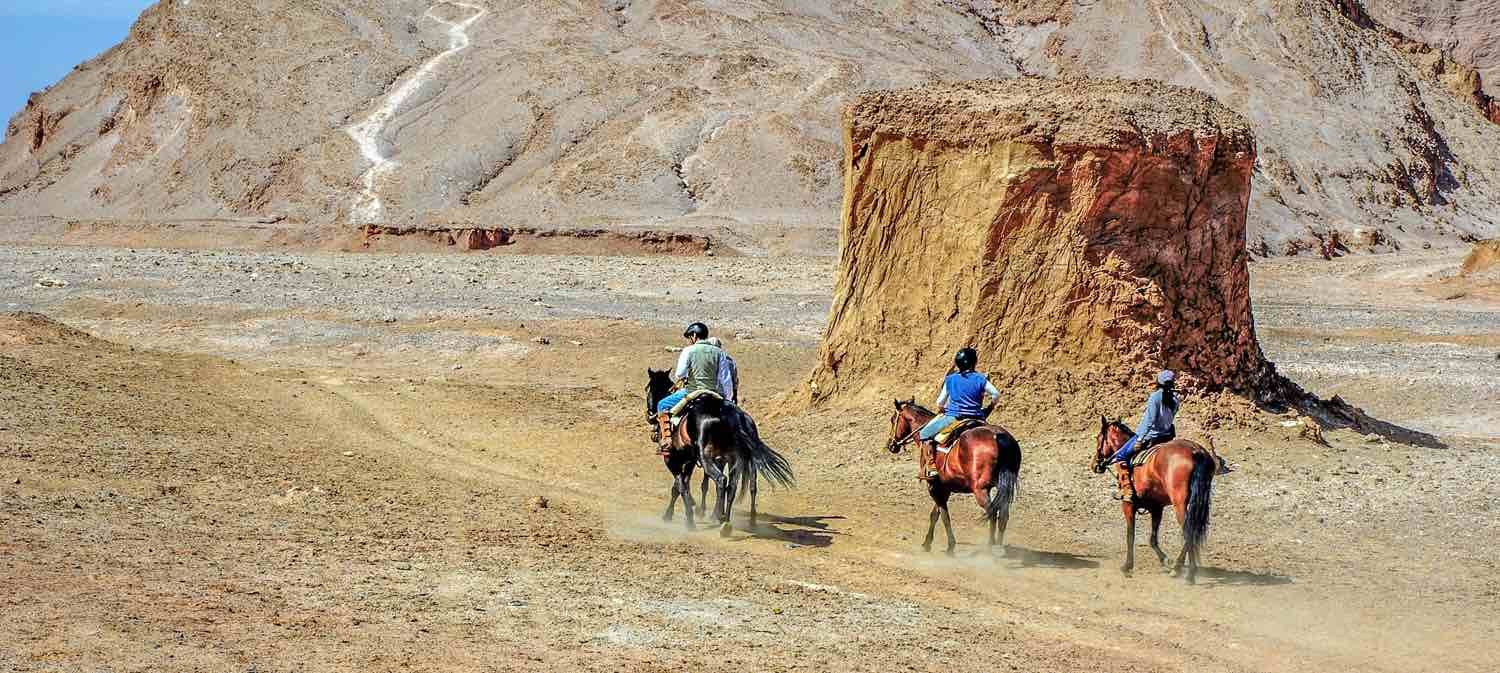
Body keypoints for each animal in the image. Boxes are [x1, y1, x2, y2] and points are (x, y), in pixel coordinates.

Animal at [882, 401, 1026, 554]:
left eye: (893, 419)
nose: (890, 445)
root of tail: (998, 436)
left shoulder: (933, 486)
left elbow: (944, 516)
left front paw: (950, 546)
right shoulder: (944, 487)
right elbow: (935, 514)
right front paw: (927, 543)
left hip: (980, 490)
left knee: (992, 513)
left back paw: (990, 548)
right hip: (1002, 486)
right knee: (1003, 515)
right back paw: (998, 547)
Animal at [1092, 413, 1218, 581]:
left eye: (1099, 438)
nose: (1095, 464)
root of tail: (1196, 451)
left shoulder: (1128, 506)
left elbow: (1130, 535)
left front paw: (1127, 566)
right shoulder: (1156, 508)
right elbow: (1152, 539)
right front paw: (1165, 560)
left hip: (1179, 504)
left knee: (1188, 530)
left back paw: (1189, 574)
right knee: (1192, 529)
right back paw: (1178, 567)